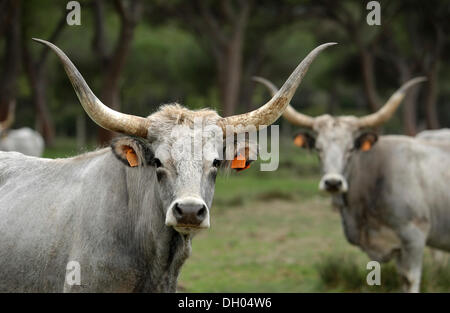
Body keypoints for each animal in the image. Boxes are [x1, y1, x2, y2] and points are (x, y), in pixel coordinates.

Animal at [255, 77, 448, 292]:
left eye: (350, 149)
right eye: (318, 149)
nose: (333, 182)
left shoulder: (414, 236)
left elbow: (410, 279)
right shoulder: (398, 247)